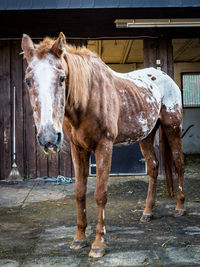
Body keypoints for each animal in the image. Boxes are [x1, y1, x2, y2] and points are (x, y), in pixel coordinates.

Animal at [21, 32, 185, 258]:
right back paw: (147, 212)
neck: (88, 97)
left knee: (178, 163)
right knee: (153, 166)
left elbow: (100, 193)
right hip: (146, 135)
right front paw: (79, 238)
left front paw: (98, 243)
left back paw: (180, 208)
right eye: (28, 81)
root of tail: (164, 76)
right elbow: (80, 192)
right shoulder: (78, 149)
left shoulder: (104, 146)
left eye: (62, 78)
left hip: (173, 127)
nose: (49, 139)